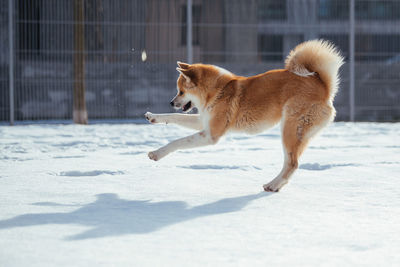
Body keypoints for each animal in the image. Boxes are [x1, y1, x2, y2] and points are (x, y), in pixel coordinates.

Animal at [144, 39, 344, 193]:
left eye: (181, 91)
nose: (171, 102)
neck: (217, 91)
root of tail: (323, 87)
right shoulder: (204, 121)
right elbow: (174, 117)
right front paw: (153, 117)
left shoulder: (211, 135)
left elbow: (177, 142)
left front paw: (156, 153)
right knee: (292, 163)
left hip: (290, 129)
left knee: (292, 163)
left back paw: (273, 185)